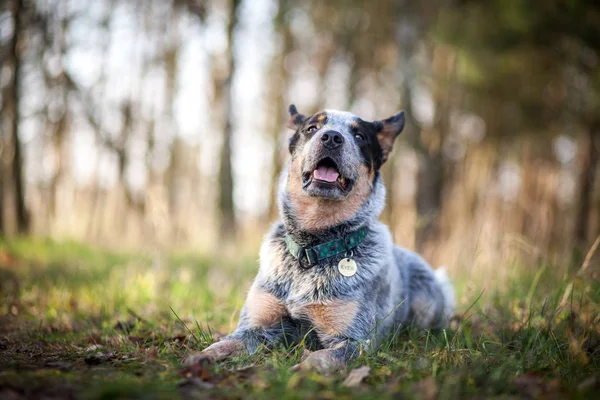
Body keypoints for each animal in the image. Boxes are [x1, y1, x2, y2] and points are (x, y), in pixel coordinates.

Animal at [183, 104, 454, 372]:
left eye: (360, 136)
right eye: (312, 128)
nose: (332, 137)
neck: (311, 248)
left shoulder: (353, 340)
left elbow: (320, 358)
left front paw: (297, 373)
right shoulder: (256, 326)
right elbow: (224, 344)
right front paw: (197, 358)